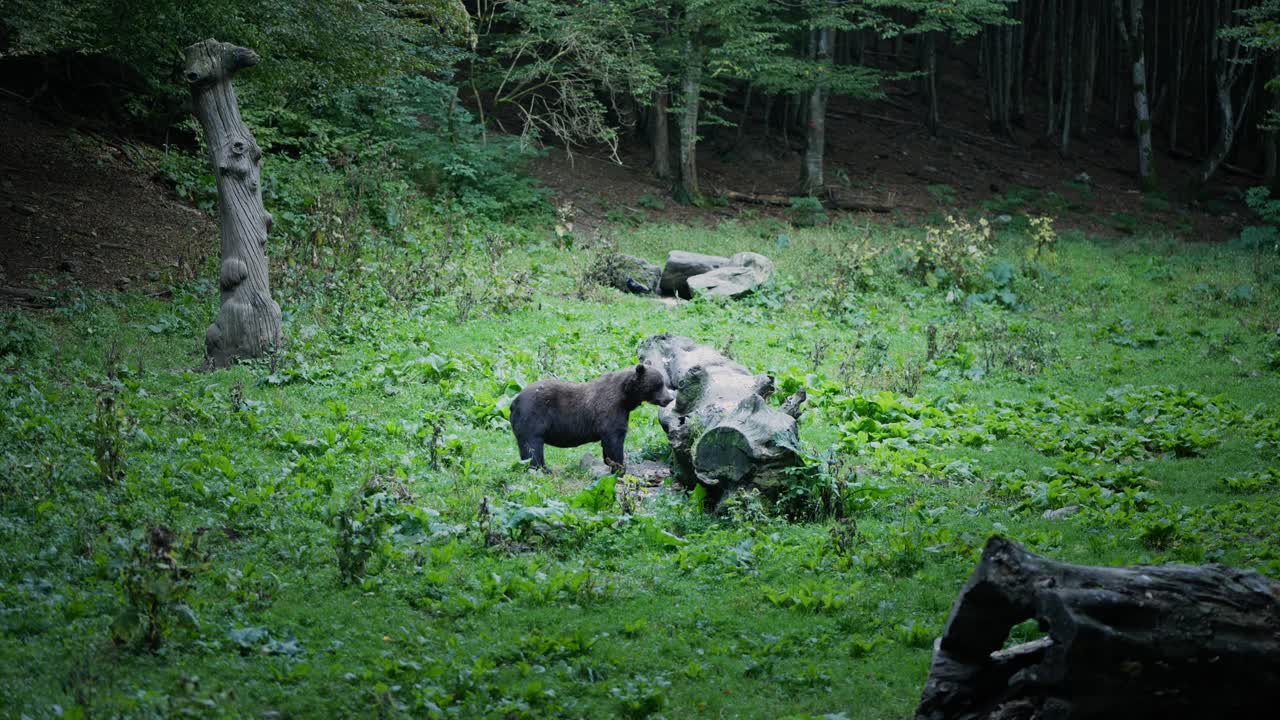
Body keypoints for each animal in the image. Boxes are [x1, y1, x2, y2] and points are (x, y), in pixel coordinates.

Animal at [509, 363, 675, 472]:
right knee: (532, 445)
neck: (626, 397)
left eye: (663, 383)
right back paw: (542, 469)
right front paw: (620, 467)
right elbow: (614, 439)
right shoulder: (611, 410)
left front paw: (610, 463)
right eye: (659, 384)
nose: (669, 398)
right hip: (533, 415)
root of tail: (514, 401)